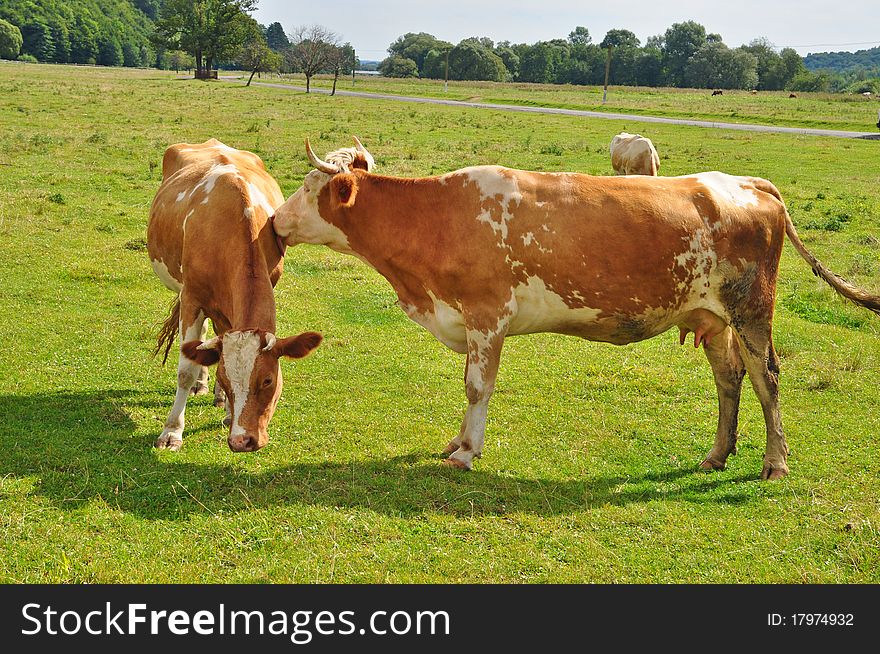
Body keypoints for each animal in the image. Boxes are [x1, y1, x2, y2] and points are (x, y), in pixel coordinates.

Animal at [146, 141, 322, 454]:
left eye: (268, 380)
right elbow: (185, 369)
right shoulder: (192, 298)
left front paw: (227, 409)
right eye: (226, 379)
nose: (242, 440)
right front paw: (172, 431)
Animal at [270, 137, 880, 482]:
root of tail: (745, 183)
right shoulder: (469, 320)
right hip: (711, 317)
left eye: (310, 188)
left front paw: (465, 453)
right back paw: (716, 455)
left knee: (766, 378)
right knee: (730, 378)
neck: (437, 217)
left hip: (752, 308)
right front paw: (456, 442)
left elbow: (477, 387)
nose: (274, 221)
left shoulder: (488, 316)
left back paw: (775, 464)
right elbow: (469, 386)